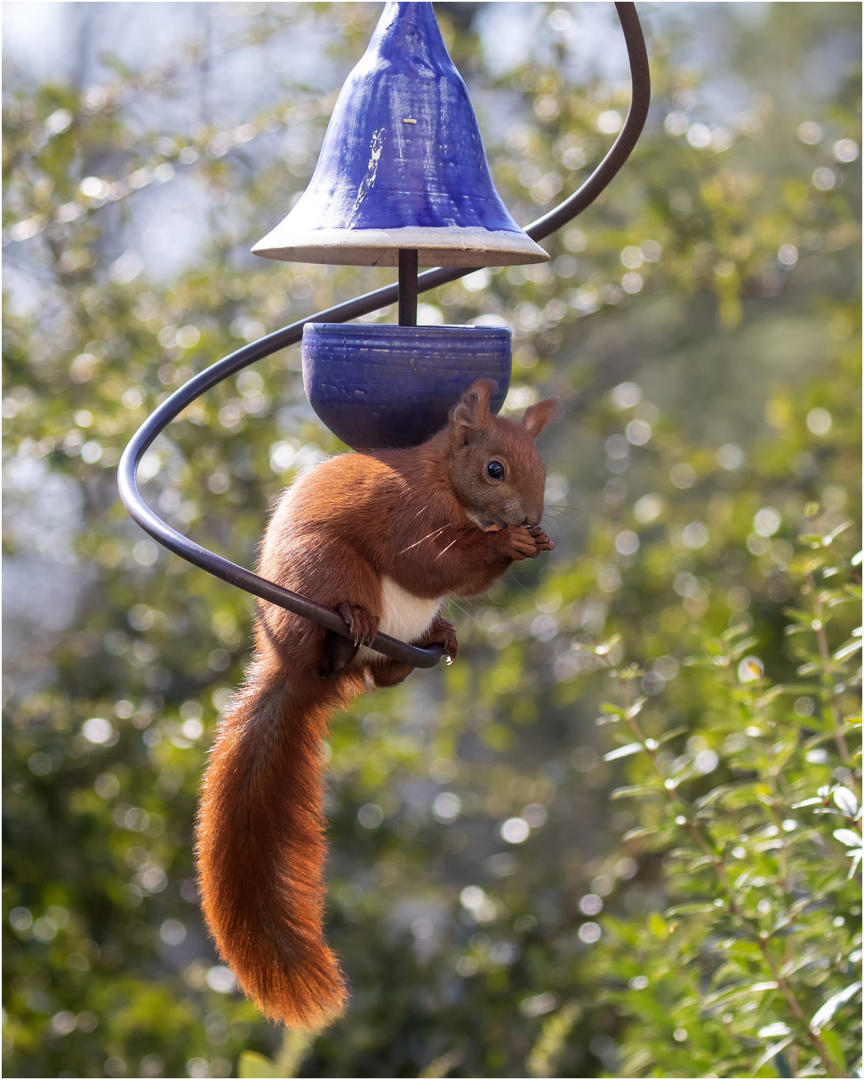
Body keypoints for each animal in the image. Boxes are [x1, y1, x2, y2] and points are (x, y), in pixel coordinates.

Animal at [194, 378, 561, 1028]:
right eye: (494, 469)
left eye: (541, 467)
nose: (531, 518)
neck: (446, 482)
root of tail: (290, 669)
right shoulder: (411, 517)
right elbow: (435, 562)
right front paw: (513, 544)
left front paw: (532, 540)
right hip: (328, 569)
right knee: (341, 636)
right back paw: (350, 628)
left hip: (386, 641)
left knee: (385, 676)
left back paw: (436, 639)